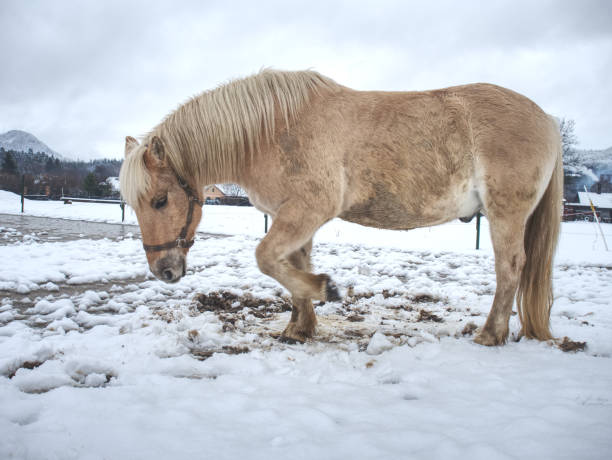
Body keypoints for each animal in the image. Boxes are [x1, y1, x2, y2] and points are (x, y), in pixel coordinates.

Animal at [117, 69, 560, 344]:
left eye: (160, 200)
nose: (163, 271)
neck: (271, 132)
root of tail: (547, 119)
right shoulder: (292, 215)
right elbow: (291, 264)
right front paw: (300, 326)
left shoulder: (308, 210)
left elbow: (267, 258)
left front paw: (325, 290)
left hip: (505, 214)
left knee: (510, 268)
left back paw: (490, 334)